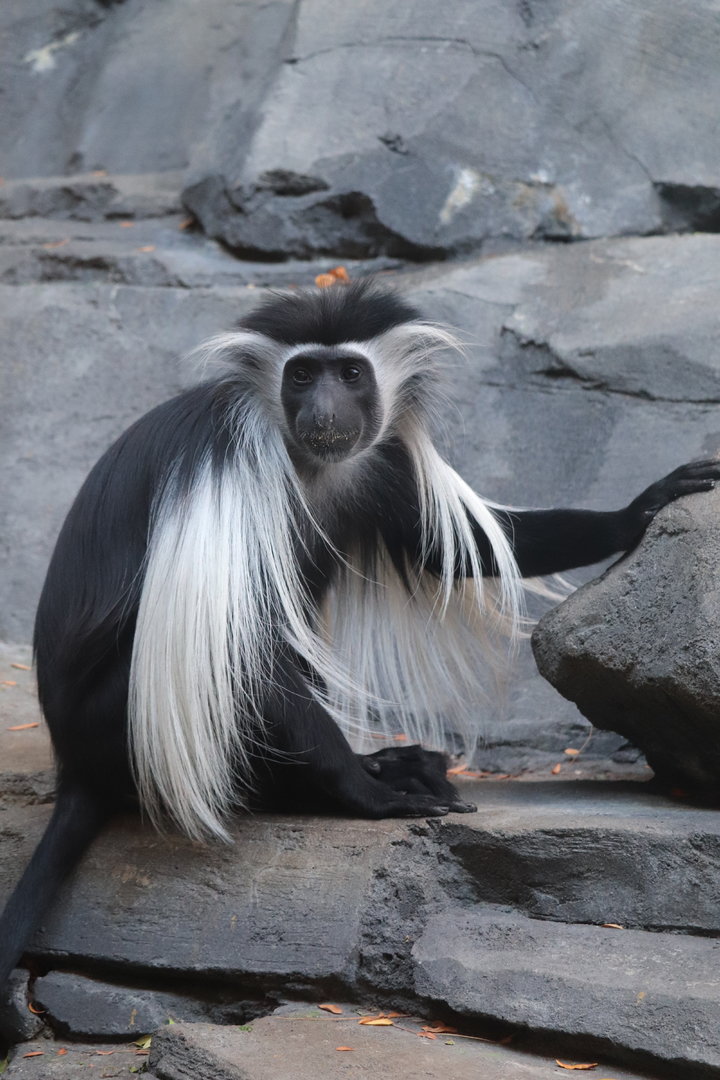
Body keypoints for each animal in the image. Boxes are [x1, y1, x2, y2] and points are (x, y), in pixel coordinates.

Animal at [1, 279, 718, 993]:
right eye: (301, 374)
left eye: (349, 373)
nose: (324, 408)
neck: (309, 463)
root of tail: (74, 760)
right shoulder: (234, 460)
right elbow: (246, 645)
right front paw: (369, 796)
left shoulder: (382, 465)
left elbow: (462, 550)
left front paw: (639, 510)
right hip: (126, 715)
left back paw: (400, 762)